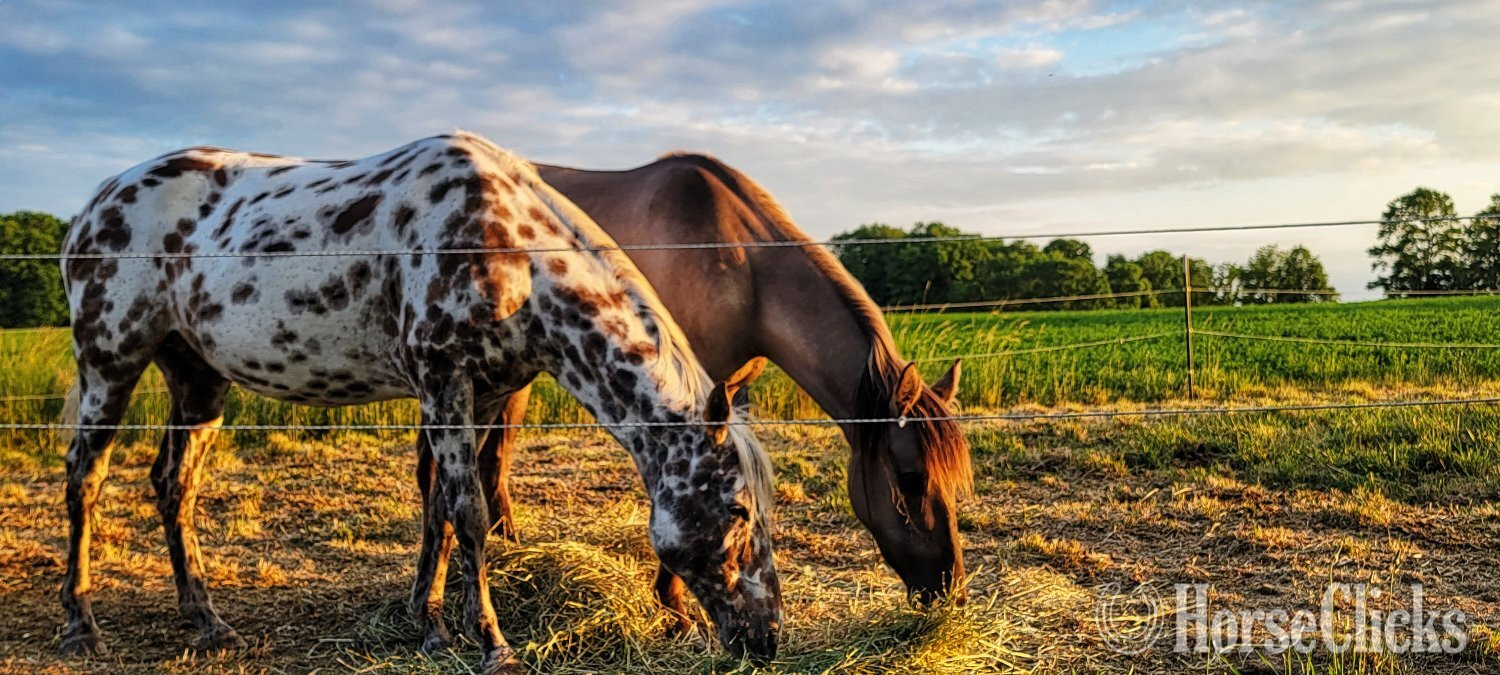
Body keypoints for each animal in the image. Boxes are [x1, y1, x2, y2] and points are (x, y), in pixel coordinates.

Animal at [57, 132, 781, 671]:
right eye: (738, 509)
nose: (768, 636)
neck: (512, 253)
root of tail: (94, 204)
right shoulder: (444, 381)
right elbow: (469, 511)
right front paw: (491, 643)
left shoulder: (482, 393)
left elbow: (443, 510)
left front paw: (435, 626)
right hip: (110, 362)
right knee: (85, 476)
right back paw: (81, 624)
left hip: (198, 378)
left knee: (174, 484)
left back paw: (208, 621)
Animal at [417, 152, 972, 620]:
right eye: (910, 478)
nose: (950, 589)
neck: (741, 264)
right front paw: (675, 607)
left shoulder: (732, 387)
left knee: (491, 455)